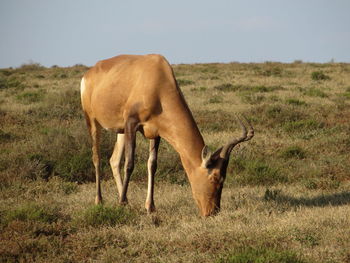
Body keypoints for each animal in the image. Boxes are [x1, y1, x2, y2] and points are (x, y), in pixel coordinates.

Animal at [80, 54, 253, 218]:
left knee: (114, 160)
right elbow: (129, 164)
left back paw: (127, 201)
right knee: (97, 158)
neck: (157, 79)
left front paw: (150, 207)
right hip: (93, 121)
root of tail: (89, 73)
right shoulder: (131, 123)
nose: (212, 212)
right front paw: (120, 204)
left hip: (120, 131)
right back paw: (100, 200)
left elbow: (152, 165)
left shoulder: (155, 133)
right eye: (215, 178)